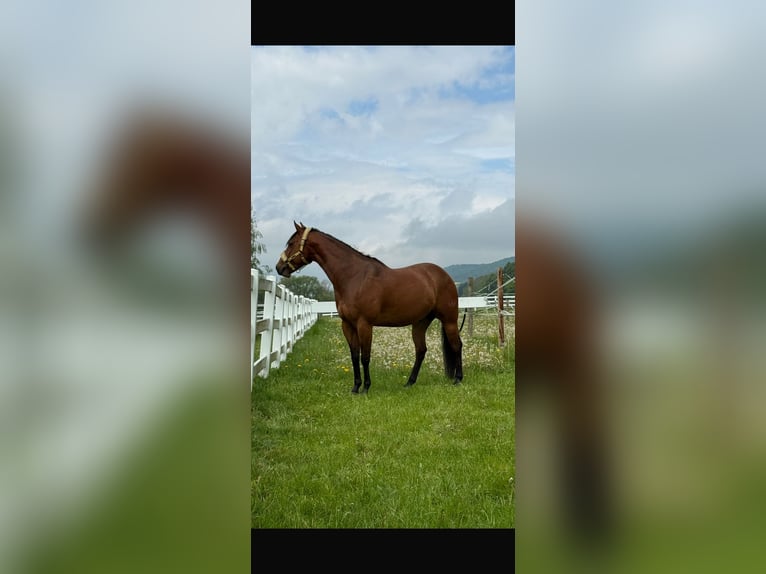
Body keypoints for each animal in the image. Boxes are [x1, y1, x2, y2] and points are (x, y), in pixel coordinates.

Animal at [275, 222, 463, 394]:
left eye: (291, 243)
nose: (279, 267)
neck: (354, 277)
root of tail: (444, 275)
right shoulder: (347, 325)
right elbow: (354, 356)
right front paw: (355, 387)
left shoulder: (364, 324)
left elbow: (365, 357)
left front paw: (366, 387)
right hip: (420, 323)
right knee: (421, 350)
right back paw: (410, 382)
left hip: (449, 320)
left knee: (457, 346)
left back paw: (458, 379)